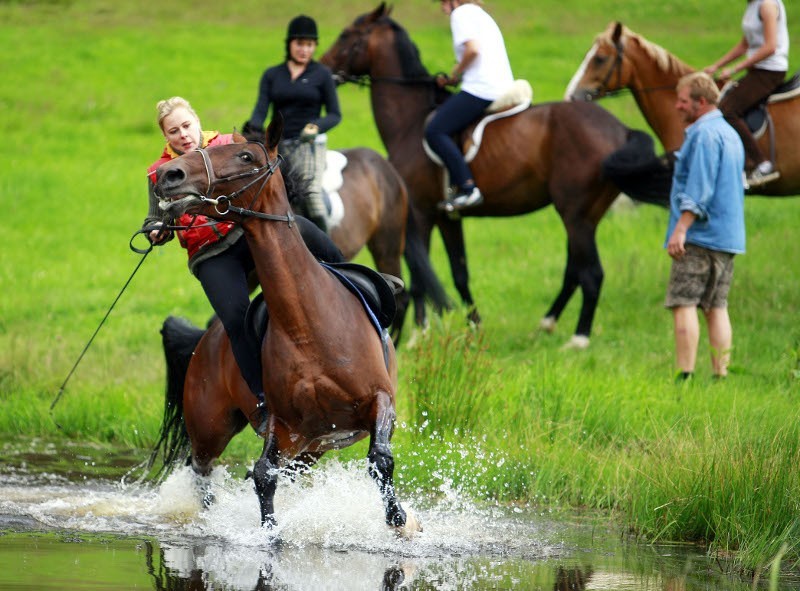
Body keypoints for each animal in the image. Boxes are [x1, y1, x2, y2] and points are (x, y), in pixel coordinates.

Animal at [152, 120, 422, 536]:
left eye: (245, 155)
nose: (169, 175)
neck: (309, 328)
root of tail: (204, 339)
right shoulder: (284, 427)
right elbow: (264, 475)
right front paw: (270, 533)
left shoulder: (379, 402)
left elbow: (380, 459)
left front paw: (400, 520)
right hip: (213, 431)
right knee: (201, 470)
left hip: (310, 449)